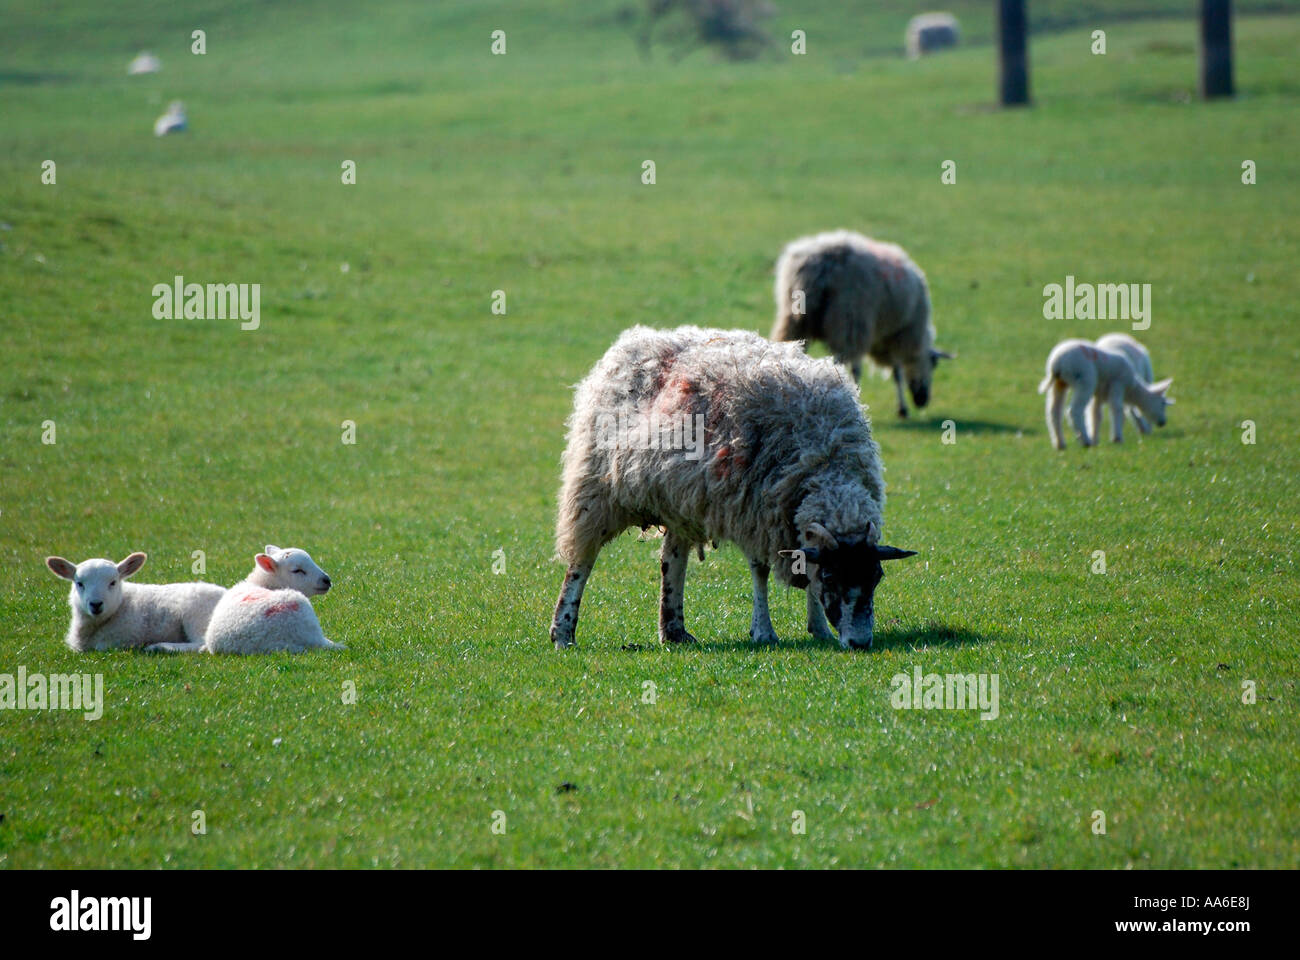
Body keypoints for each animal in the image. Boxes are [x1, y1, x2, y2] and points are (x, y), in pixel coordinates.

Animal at [45, 552, 225, 652]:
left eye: (113, 582)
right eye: (79, 583)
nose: (96, 604)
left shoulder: (116, 639)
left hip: (197, 617)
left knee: (202, 645)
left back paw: (160, 647)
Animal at [550, 325, 917, 652]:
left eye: (877, 577)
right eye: (832, 577)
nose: (859, 643)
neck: (824, 461)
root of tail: (634, 341)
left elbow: (804, 570)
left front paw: (819, 629)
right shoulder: (755, 514)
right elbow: (761, 571)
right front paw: (764, 631)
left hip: (679, 498)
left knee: (672, 560)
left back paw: (674, 630)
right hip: (596, 490)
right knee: (582, 562)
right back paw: (563, 632)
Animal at [772, 230, 954, 418]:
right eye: (934, 364)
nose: (922, 400)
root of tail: (822, 263)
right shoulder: (898, 334)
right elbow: (897, 372)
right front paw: (902, 409)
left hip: (796, 320)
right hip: (851, 319)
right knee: (846, 366)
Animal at [1037, 339, 1174, 449]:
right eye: (1162, 403)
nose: (1163, 422)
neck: (1132, 389)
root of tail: (1057, 363)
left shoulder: (1098, 395)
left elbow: (1095, 415)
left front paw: (1095, 439)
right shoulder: (1118, 385)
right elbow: (1117, 409)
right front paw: (1117, 438)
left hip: (1059, 384)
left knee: (1054, 412)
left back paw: (1060, 444)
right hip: (1085, 380)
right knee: (1074, 410)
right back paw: (1085, 441)